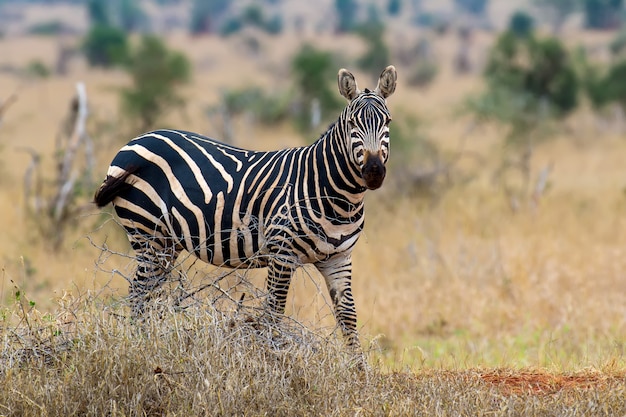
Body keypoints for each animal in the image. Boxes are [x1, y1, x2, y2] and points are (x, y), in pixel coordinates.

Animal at [94, 65, 394, 352]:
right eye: (353, 123)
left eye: (388, 122)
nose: (374, 172)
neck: (333, 192)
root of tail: (134, 142)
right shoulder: (281, 253)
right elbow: (273, 313)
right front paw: (271, 359)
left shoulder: (339, 258)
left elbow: (348, 317)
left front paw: (359, 368)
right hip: (147, 232)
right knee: (139, 292)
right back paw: (141, 345)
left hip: (166, 243)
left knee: (149, 294)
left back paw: (152, 342)